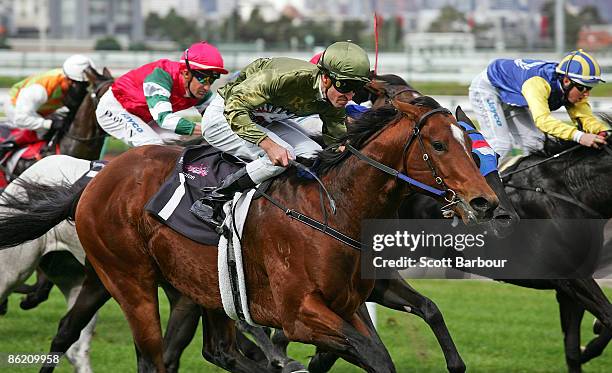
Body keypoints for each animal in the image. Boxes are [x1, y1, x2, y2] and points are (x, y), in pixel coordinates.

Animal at [2, 97, 500, 370]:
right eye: (439, 144)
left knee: (211, 349)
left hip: (200, 287)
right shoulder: (299, 314)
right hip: (130, 282)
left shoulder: (349, 301)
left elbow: (413, 322)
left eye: (472, 143)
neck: (333, 209)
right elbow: (371, 354)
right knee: (151, 355)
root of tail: (94, 178)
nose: (486, 202)